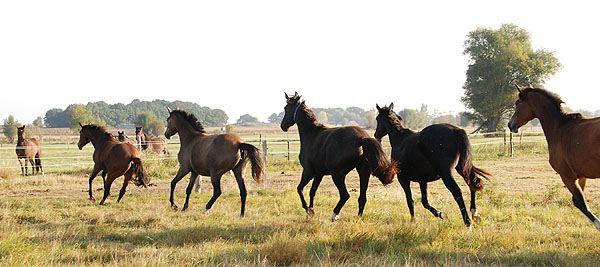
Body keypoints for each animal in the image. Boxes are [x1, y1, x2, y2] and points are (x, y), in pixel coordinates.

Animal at [282, 92, 398, 222]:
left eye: (286, 108)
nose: (283, 126)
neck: (312, 134)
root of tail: (361, 138)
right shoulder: (319, 173)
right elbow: (312, 191)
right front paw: (311, 211)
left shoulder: (308, 171)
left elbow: (300, 189)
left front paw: (308, 210)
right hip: (363, 172)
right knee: (362, 197)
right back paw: (358, 218)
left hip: (337, 175)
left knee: (345, 195)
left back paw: (335, 214)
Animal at [508, 85, 600, 231]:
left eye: (517, 103)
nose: (510, 124)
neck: (559, 128)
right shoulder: (582, 177)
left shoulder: (567, 176)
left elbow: (580, 203)